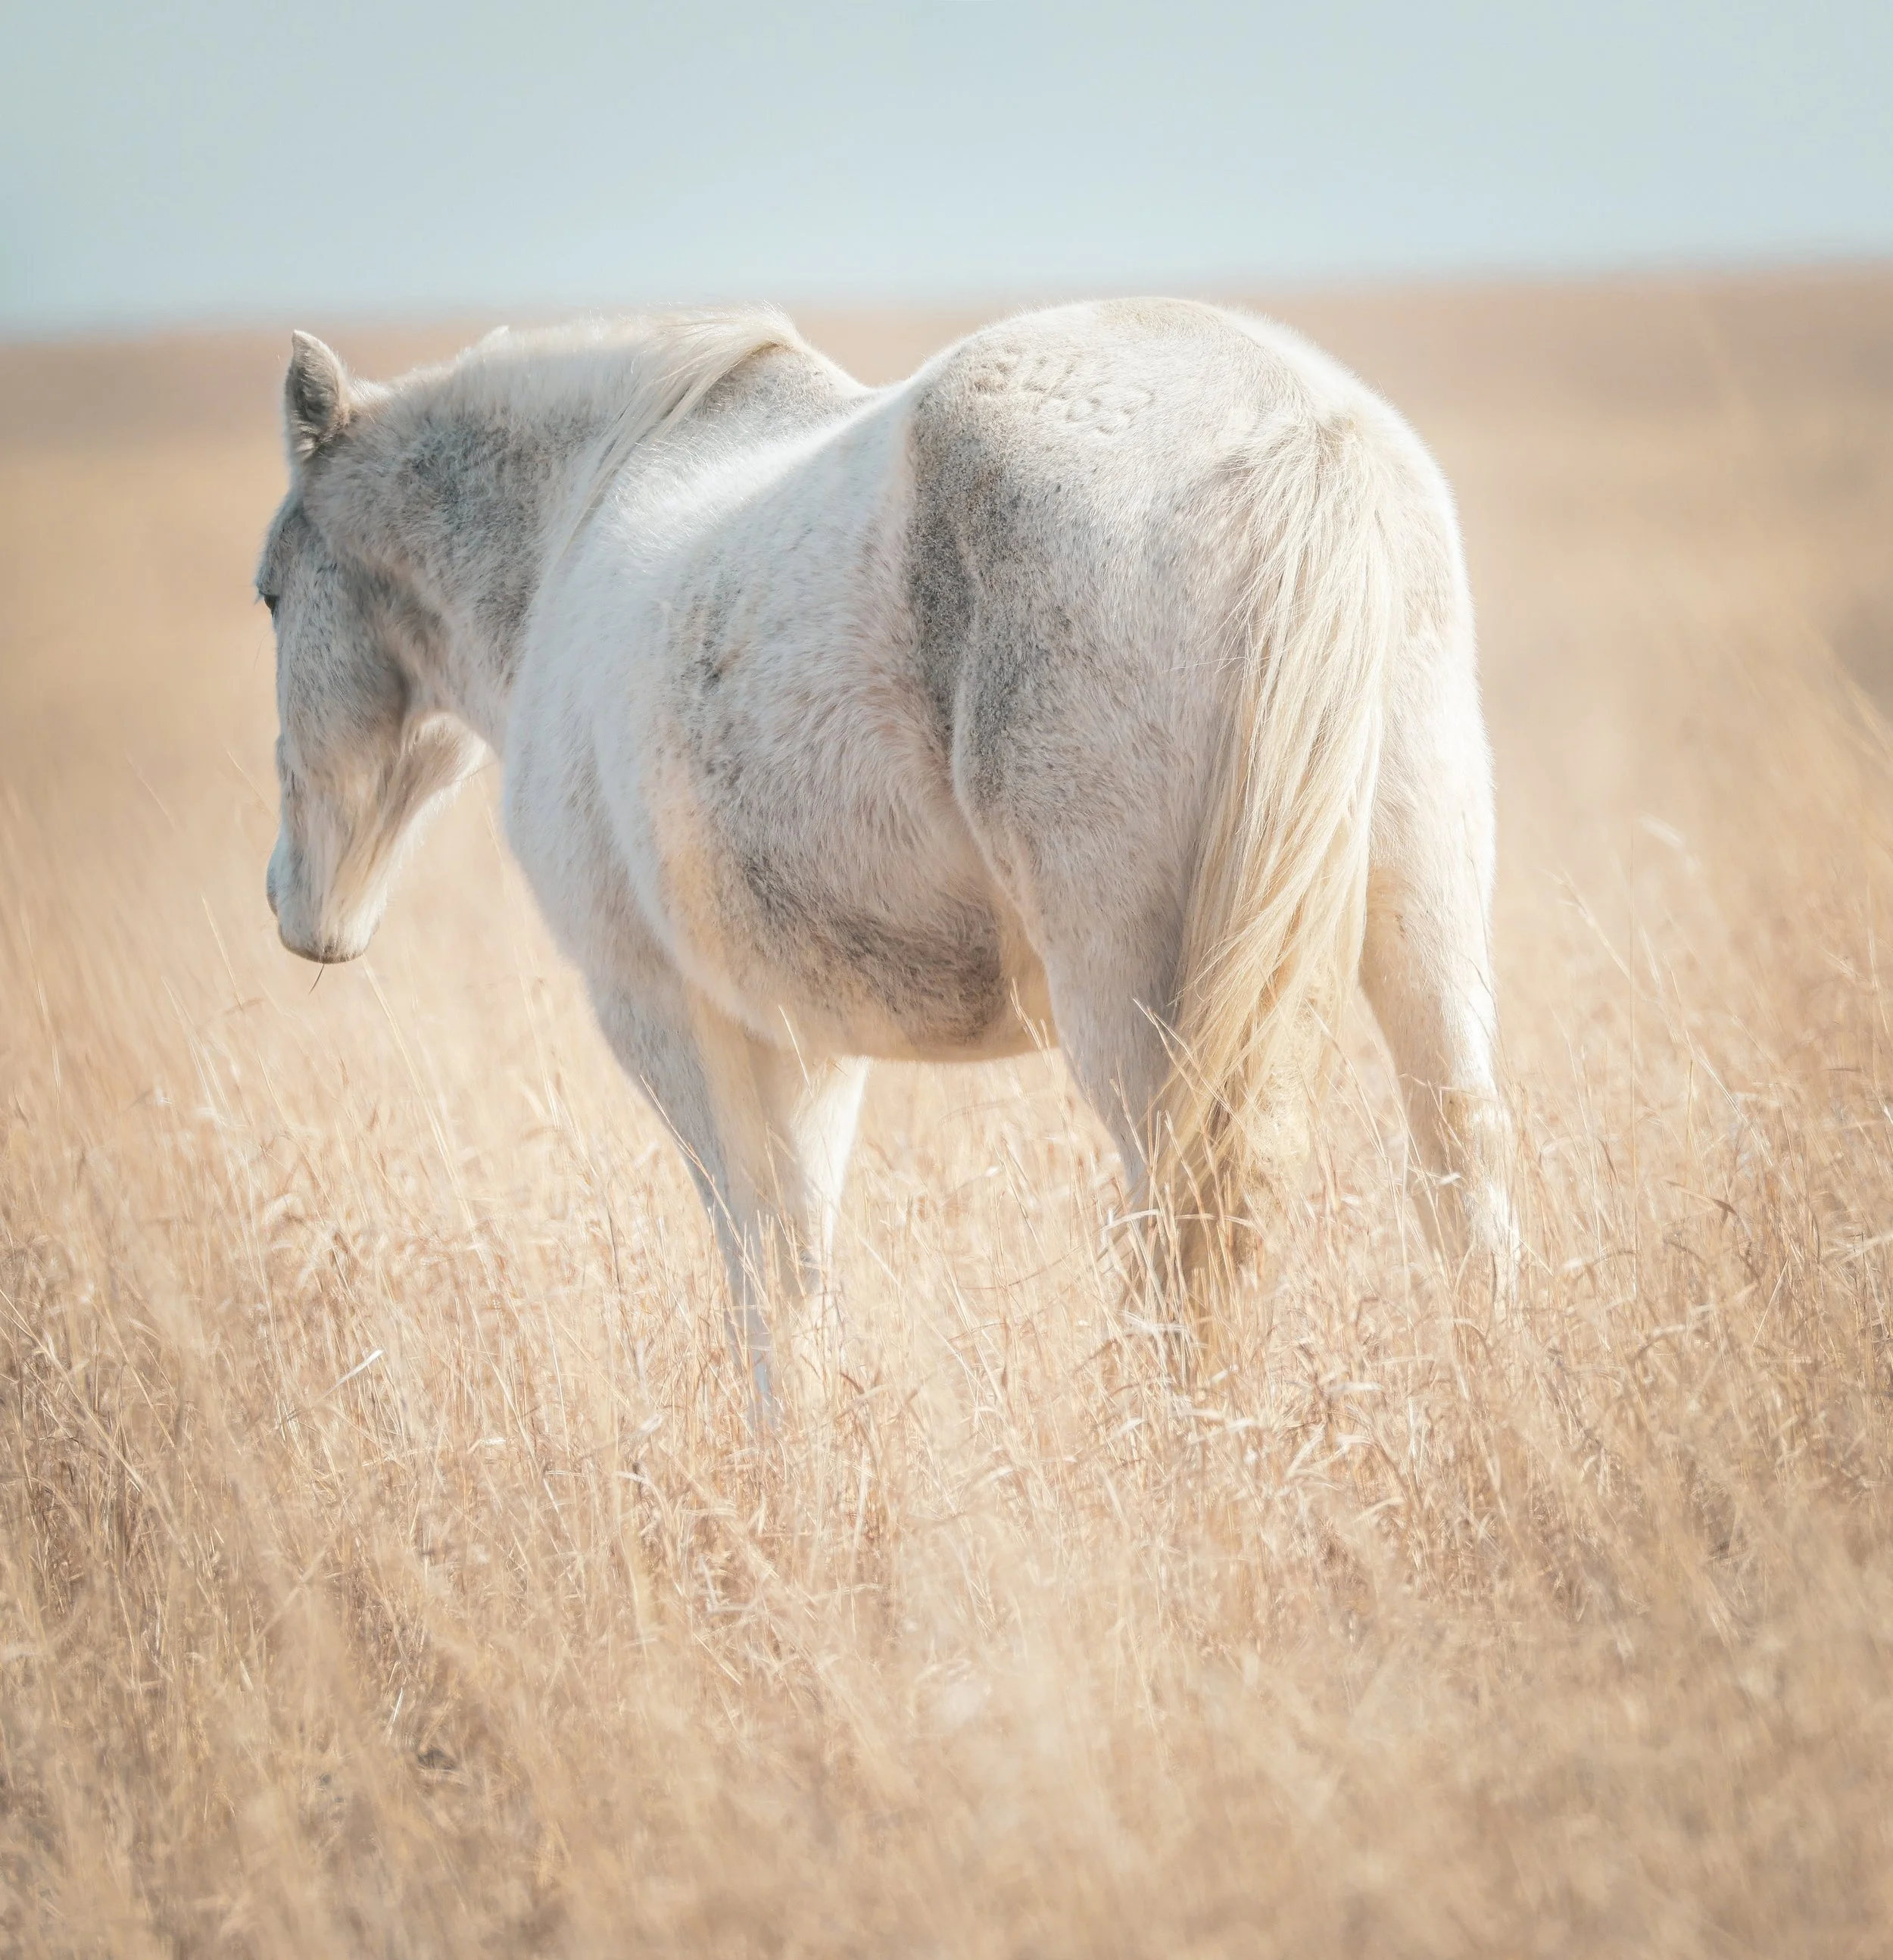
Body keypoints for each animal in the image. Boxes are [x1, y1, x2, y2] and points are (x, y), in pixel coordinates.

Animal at [257, 300, 1516, 1401]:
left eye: (269, 594)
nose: (295, 905)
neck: (573, 528)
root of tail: (1305, 427)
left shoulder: (663, 1012)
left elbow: (763, 1272)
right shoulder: (806, 1036)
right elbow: (803, 1269)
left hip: (1137, 995)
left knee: (1196, 1213)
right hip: (1423, 923)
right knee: (1460, 1172)